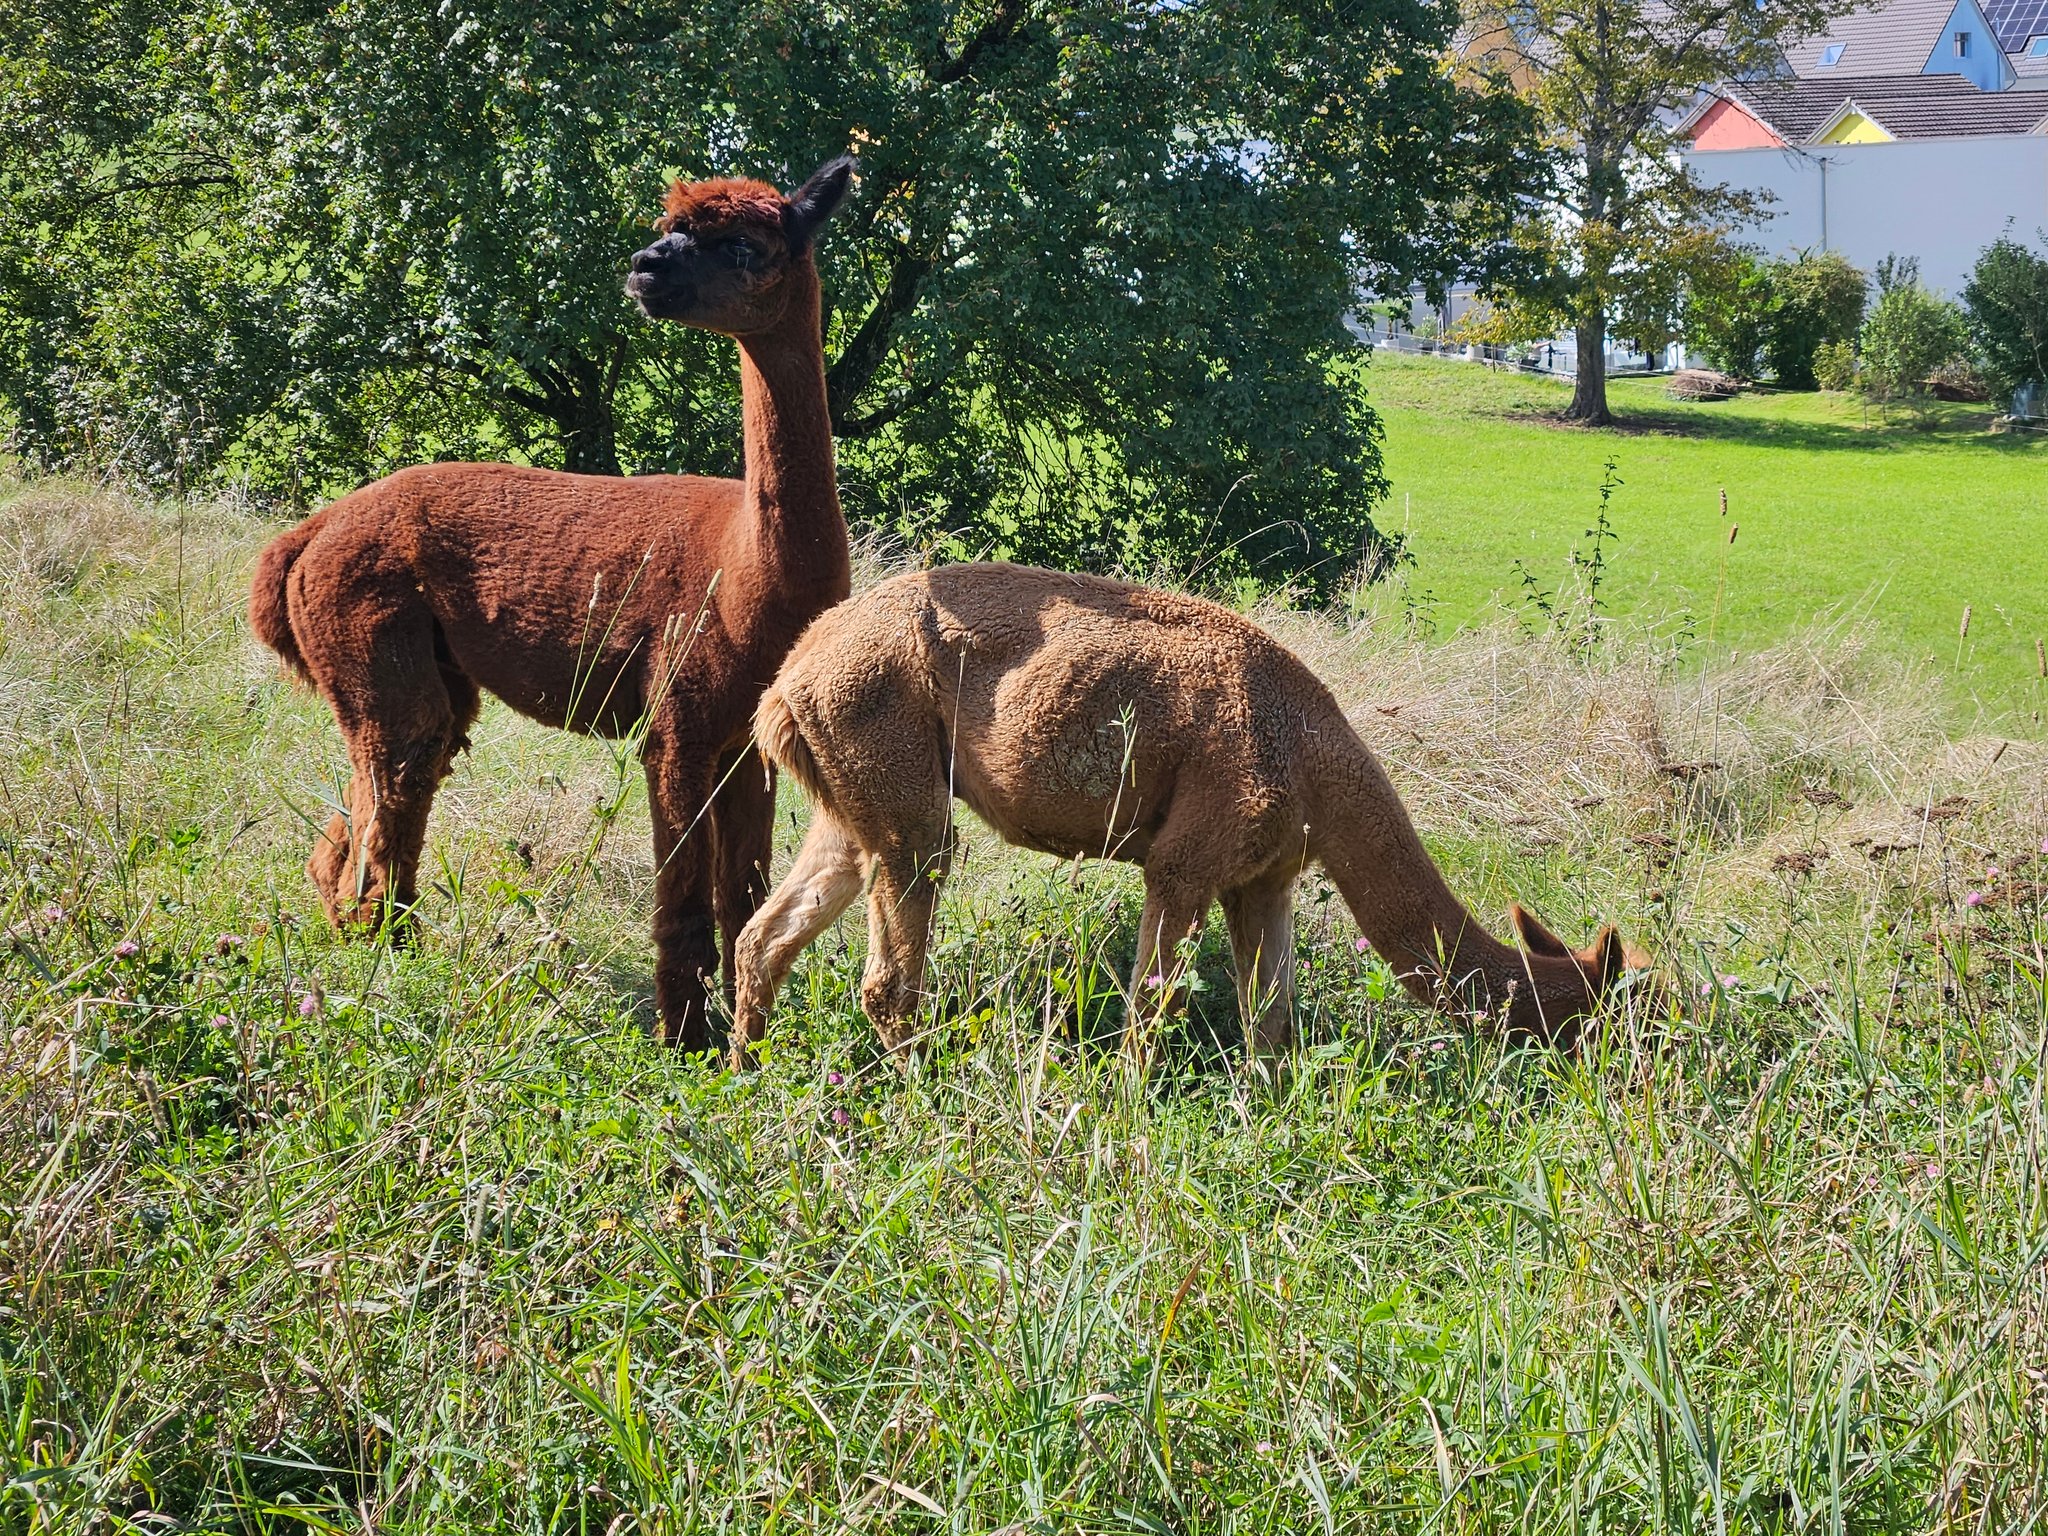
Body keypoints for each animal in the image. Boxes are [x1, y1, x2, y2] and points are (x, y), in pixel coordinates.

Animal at [248, 156, 855, 1049]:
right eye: (671, 226)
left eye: (743, 247)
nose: (645, 267)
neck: (749, 574)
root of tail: (314, 529)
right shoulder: (676, 725)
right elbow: (683, 902)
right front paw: (687, 1041)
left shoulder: (746, 741)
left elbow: (742, 899)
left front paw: (750, 1038)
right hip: (370, 640)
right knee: (389, 806)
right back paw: (390, 969)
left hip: (416, 670)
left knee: (363, 820)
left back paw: (370, 944)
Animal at [731, 563, 1650, 1070]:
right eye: (1625, 1020)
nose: (1644, 1078)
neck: (1313, 758)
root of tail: (790, 677)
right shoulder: (1187, 861)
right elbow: (1151, 1011)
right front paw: (1127, 1123)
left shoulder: (1265, 878)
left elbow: (1269, 1024)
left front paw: (1267, 1123)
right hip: (900, 788)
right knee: (887, 981)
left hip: (855, 802)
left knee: (762, 937)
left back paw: (747, 1070)